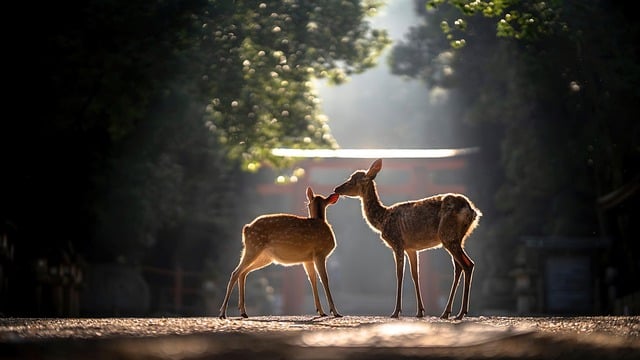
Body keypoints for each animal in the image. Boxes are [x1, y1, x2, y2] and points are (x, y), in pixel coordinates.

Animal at [218, 187, 342, 320]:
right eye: (308, 204)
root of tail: (246, 228)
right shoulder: (320, 253)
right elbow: (324, 279)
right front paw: (335, 312)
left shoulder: (307, 259)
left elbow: (312, 279)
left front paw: (321, 311)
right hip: (254, 247)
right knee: (235, 273)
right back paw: (222, 313)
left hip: (263, 256)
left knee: (243, 273)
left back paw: (243, 312)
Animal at [336, 159, 480, 320]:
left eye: (352, 180)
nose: (336, 189)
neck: (383, 220)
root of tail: (472, 211)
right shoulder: (411, 248)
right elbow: (415, 275)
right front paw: (420, 311)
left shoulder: (397, 242)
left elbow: (399, 274)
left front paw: (396, 312)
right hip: (459, 237)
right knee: (459, 267)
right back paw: (446, 313)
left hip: (447, 235)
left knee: (467, 264)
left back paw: (460, 313)